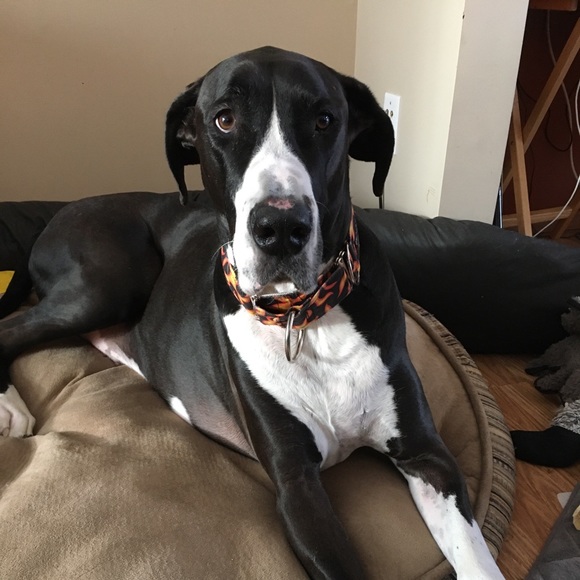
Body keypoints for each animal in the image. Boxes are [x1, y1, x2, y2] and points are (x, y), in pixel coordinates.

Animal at [0, 46, 502, 579]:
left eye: (324, 120)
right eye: (224, 119)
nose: (280, 227)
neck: (305, 318)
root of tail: (58, 214)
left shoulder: (429, 457)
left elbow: (477, 557)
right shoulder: (297, 485)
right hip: (110, 280)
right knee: (10, 328)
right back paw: (11, 407)